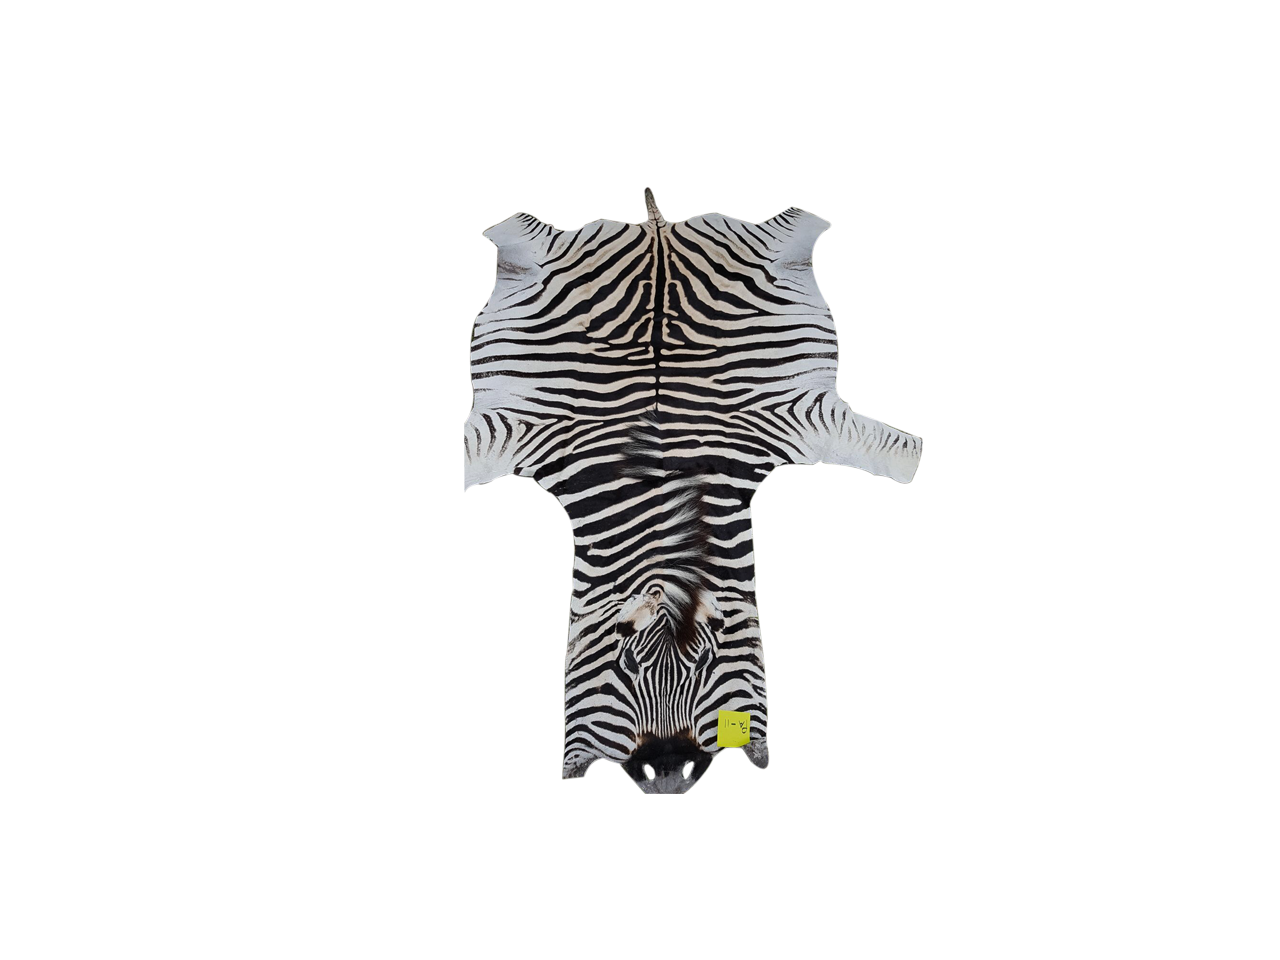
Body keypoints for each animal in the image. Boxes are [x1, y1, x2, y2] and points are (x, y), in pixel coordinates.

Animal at [463, 189, 923, 794]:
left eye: (705, 663)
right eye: (625, 666)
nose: (667, 775)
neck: (662, 514)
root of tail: (656, 226)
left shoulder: (801, 419)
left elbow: (896, 449)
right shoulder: (517, 430)